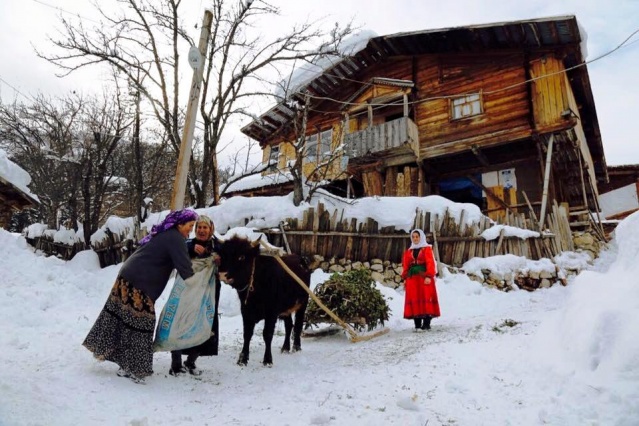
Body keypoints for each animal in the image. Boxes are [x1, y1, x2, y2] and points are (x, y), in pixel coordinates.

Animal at [218, 236, 312, 366]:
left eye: (241, 257)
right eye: (223, 255)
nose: (222, 274)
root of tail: (300, 258)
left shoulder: (271, 313)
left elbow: (267, 334)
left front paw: (267, 360)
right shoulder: (246, 312)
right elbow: (247, 334)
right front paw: (242, 359)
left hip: (303, 303)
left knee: (298, 325)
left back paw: (296, 347)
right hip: (285, 309)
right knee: (289, 325)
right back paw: (285, 348)